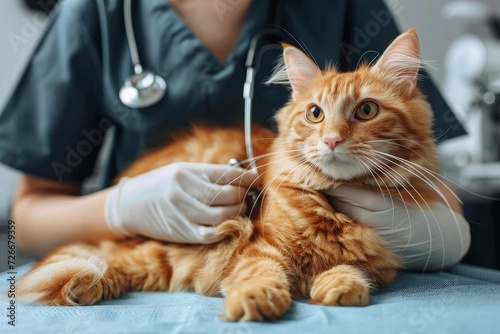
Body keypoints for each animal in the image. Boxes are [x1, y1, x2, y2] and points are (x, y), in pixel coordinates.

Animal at [15, 30, 440, 322]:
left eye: (366, 110)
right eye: (315, 114)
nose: (332, 139)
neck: (330, 206)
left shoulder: (379, 257)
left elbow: (351, 269)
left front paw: (340, 284)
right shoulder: (258, 244)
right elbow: (261, 272)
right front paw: (257, 300)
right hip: (160, 249)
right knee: (101, 260)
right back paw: (87, 285)